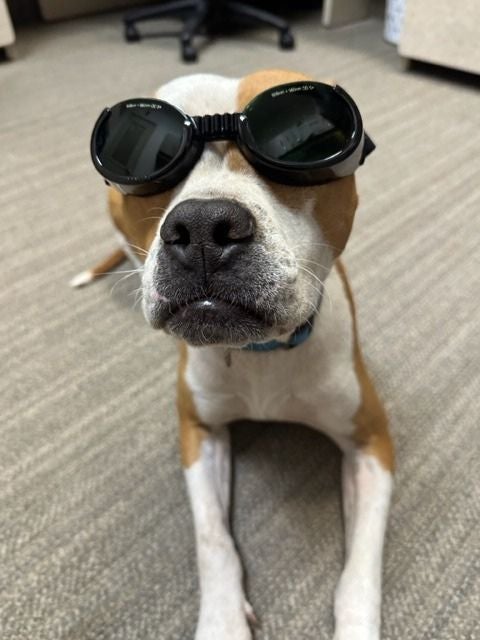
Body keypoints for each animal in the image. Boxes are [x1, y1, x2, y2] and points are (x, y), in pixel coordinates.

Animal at [75, 69, 394, 640]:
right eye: (152, 165)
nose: (203, 226)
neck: (256, 353)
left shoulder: (371, 447)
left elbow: (360, 570)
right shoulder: (198, 432)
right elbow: (212, 541)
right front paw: (222, 621)